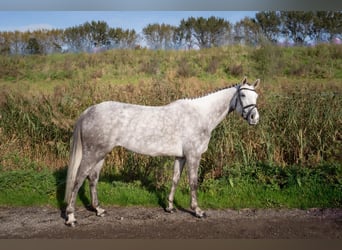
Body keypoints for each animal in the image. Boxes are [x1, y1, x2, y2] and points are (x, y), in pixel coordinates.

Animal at [65, 76, 260, 227]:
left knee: (93, 178)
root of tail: (89, 111)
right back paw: (71, 217)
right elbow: (193, 183)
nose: (254, 118)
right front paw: (198, 211)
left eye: (256, 95)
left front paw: (170, 207)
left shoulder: (180, 157)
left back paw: (99, 210)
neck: (200, 115)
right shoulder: (193, 155)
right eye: (243, 94)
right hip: (92, 154)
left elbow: (175, 179)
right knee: (78, 179)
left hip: (101, 154)